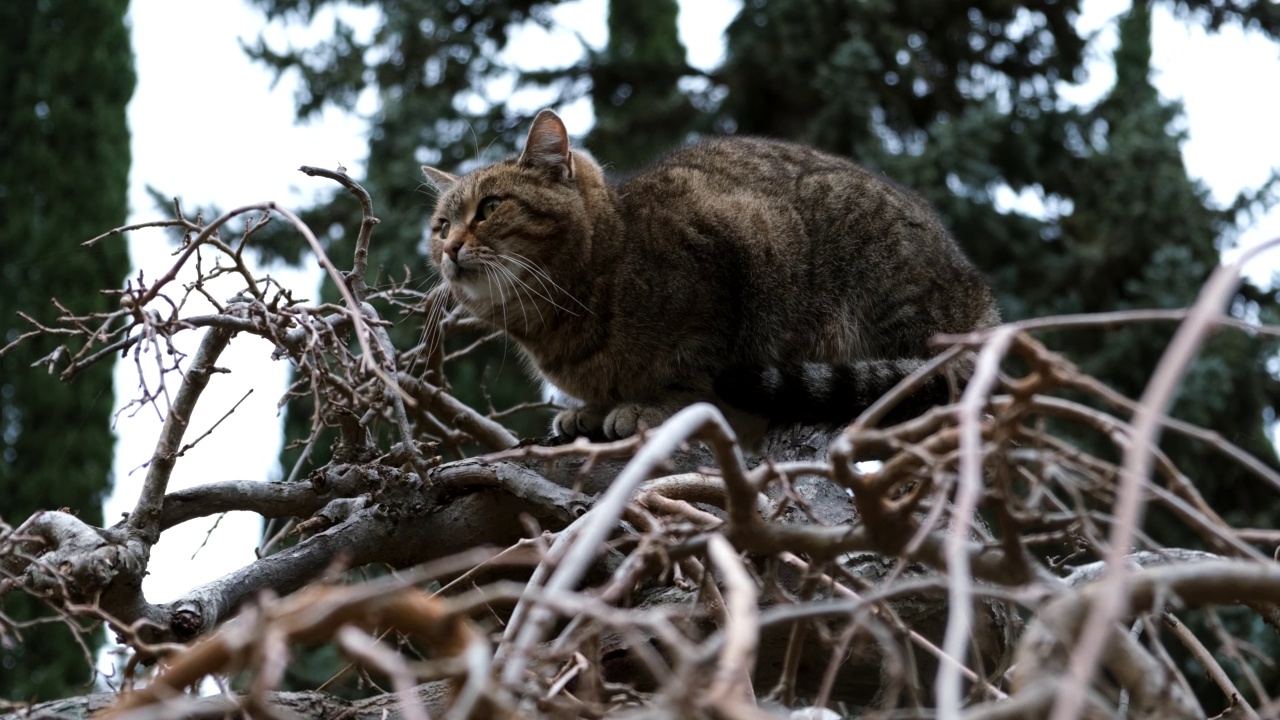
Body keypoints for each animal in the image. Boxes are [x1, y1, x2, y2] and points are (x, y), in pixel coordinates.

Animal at [422, 109, 998, 440]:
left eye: (489, 208)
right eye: (441, 224)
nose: (449, 247)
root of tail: (981, 296)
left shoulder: (727, 264)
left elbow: (691, 369)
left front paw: (651, 407)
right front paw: (589, 408)